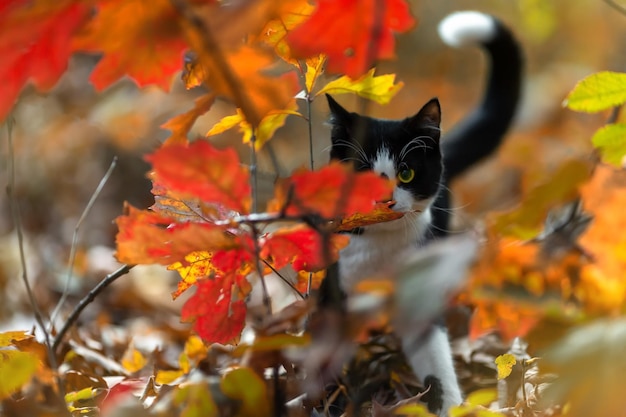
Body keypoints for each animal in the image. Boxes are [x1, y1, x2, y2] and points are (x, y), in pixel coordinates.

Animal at [324, 11, 520, 414]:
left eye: (406, 173)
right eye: (362, 175)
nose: (384, 202)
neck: (381, 252)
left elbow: (435, 356)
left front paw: (451, 404)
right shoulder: (336, 285)